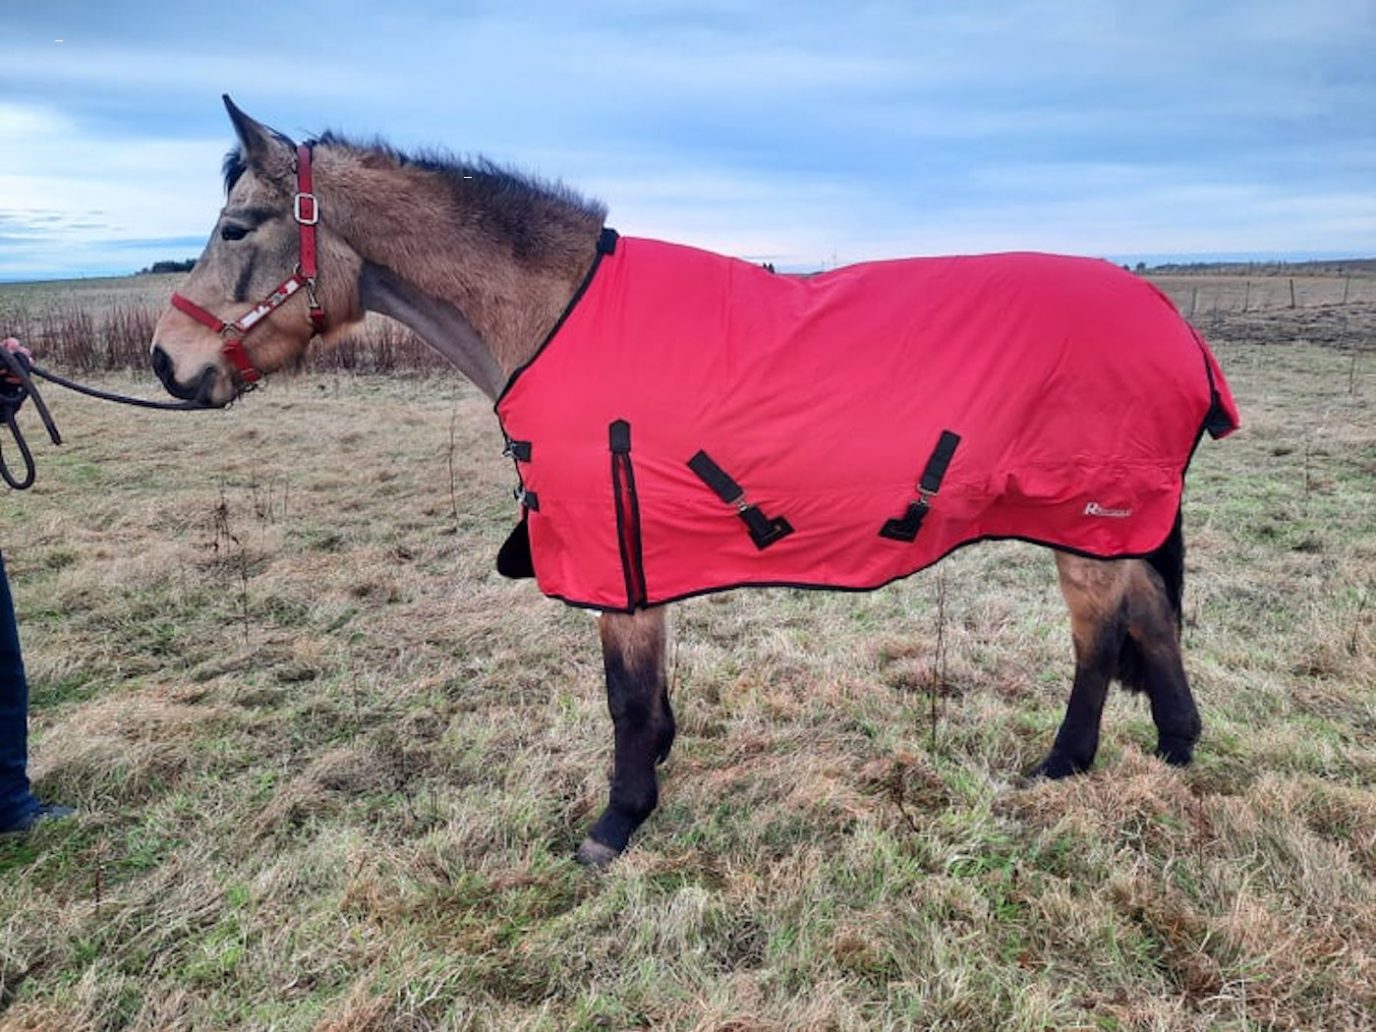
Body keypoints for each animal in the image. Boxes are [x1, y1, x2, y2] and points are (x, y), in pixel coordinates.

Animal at [150, 97, 1238, 866]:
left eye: (239, 227)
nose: (166, 363)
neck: (555, 314)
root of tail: (1170, 323)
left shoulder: (616, 556)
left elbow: (624, 699)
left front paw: (617, 822)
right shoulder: (641, 559)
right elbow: (648, 691)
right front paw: (653, 777)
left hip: (1083, 525)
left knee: (1099, 642)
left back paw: (1063, 765)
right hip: (1112, 528)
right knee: (1154, 616)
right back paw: (1177, 746)